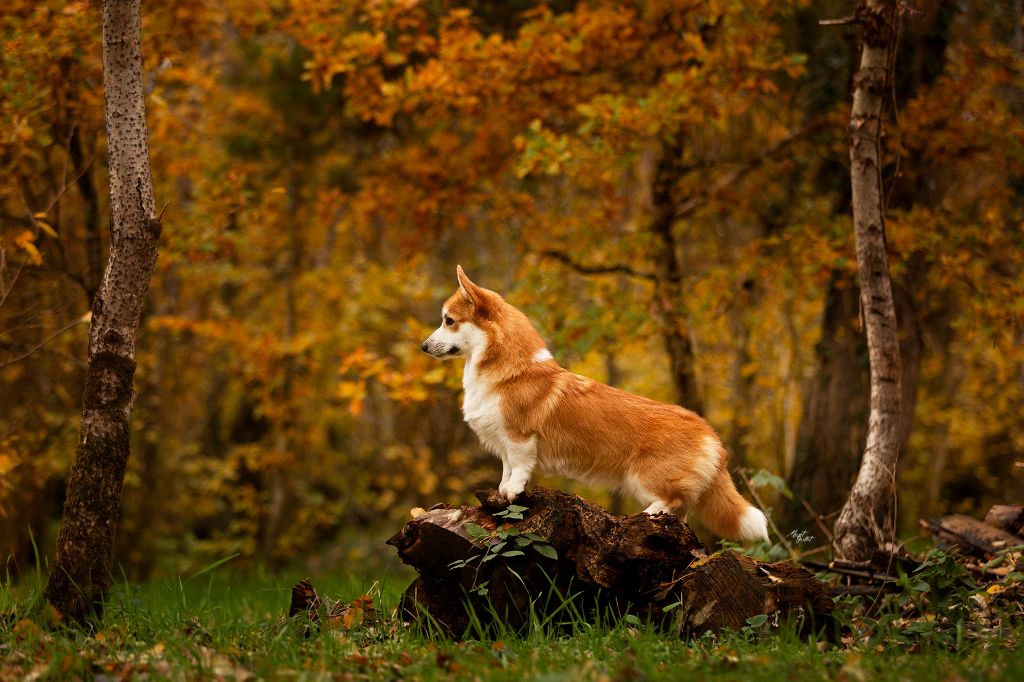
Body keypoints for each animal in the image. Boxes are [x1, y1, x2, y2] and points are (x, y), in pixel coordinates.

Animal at [421, 262, 770, 540]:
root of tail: (708, 431)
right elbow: (506, 471)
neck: (508, 370)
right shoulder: (505, 442)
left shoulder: (520, 439)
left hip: (645, 476)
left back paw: (647, 514)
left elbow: (518, 470)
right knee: (682, 510)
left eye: (449, 320)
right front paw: (503, 492)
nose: (423, 347)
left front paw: (513, 492)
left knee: (671, 500)